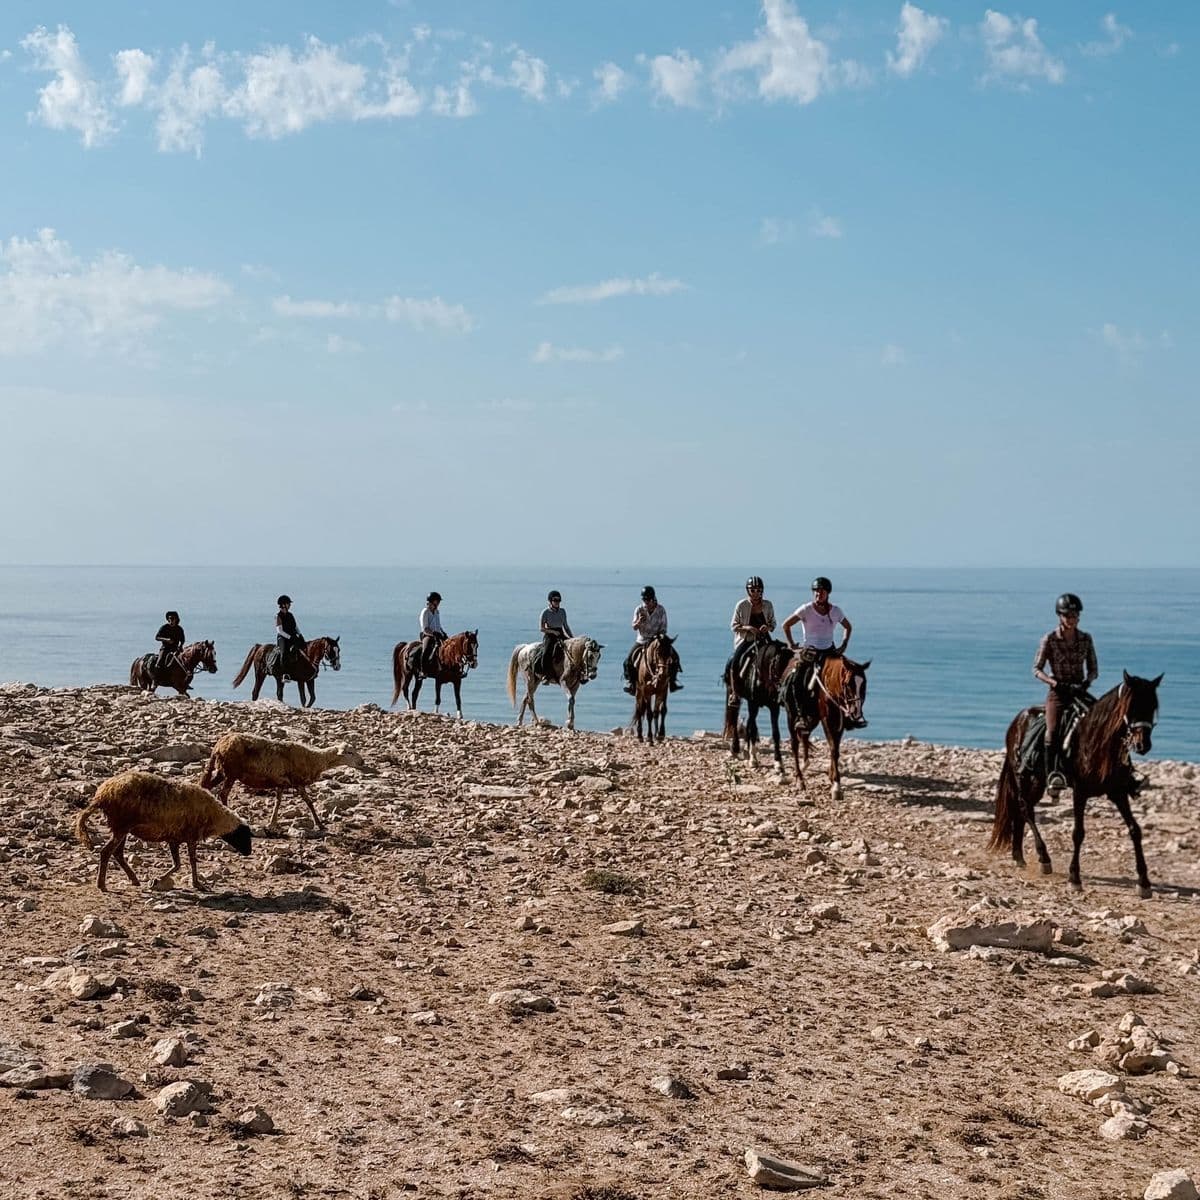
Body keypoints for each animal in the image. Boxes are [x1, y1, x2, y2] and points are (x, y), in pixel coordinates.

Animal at [723, 638, 795, 773]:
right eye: (778, 664)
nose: (784, 689)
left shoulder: (774, 708)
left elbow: (775, 733)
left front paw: (778, 763)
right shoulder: (753, 704)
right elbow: (751, 728)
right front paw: (753, 760)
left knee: (750, 724)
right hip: (734, 693)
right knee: (735, 719)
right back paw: (736, 748)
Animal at [779, 651, 871, 800]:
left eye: (863, 685)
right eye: (848, 684)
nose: (855, 713)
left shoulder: (839, 723)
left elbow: (835, 749)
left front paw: (833, 778)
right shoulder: (827, 721)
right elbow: (833, 749)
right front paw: (836, 787)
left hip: (811, 719)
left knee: (804, 735)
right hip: (791, 716)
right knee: (794, 744)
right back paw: (800, 780)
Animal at [989, 671, 1162, 898]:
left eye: (1152, 706)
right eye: (1131, 706)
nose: (1143, 745)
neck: (1097, 742)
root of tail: (1017, 720)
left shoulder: (1118, 793)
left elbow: (1135, 830)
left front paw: (1144, 883)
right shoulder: (1080, 792)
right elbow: (1078, 833)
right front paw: (1074, 879)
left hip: (1037, 781)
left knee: (1022, 810)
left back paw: (1019, 856)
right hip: (1024, 776)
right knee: (1025, 809)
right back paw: (1044, 859)